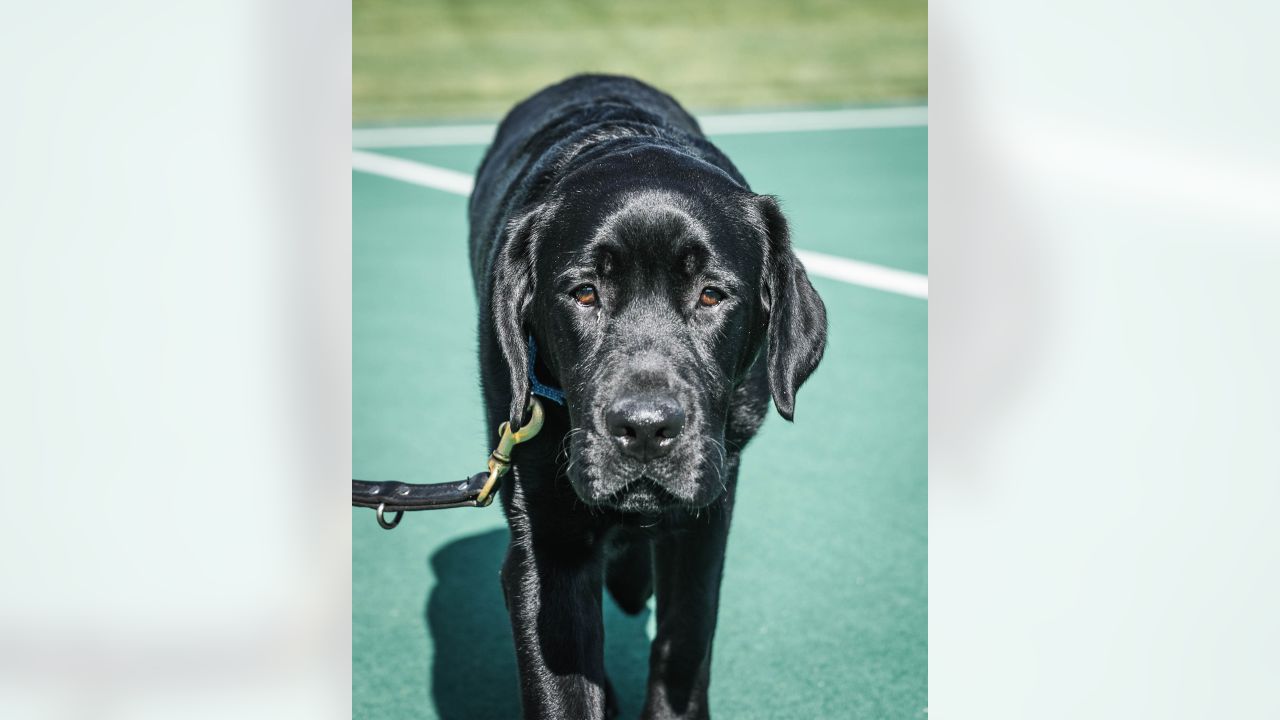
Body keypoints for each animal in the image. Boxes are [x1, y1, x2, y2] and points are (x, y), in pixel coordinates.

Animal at [471, 75, 829, 712]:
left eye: (712, 294)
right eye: (584, 293)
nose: (643, 428)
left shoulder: (708, 509)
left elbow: (685, 639)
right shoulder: (546, 546)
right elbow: (563, 684)